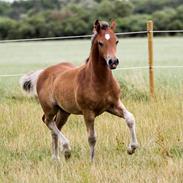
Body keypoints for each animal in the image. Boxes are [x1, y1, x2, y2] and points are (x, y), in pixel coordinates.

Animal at [19, 19, 138, 161]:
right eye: (100, 43)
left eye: (116, 41)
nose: (113, 61)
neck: (99, 81)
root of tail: (42, 73)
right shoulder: (88, 112)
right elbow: (92, 138)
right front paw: (91, 161)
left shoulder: (113, 105)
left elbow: (130, 118)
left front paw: (132, 148)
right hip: (50, 108)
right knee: (48, 122)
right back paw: (66, 150)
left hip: (64, 111)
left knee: (55, 126)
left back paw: (56, 158)